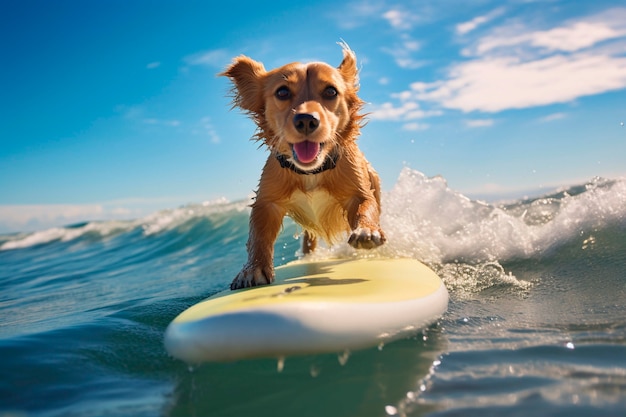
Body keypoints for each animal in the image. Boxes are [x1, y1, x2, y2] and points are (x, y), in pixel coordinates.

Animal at [222, 42, 382, 290]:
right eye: (282, 92)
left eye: (331, 91)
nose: (306, 120)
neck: (312, 171)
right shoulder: (267, 203)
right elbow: (258, 235)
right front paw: (253, 268)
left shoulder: (359, 192)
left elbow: (366, 206)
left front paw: (367, 229)